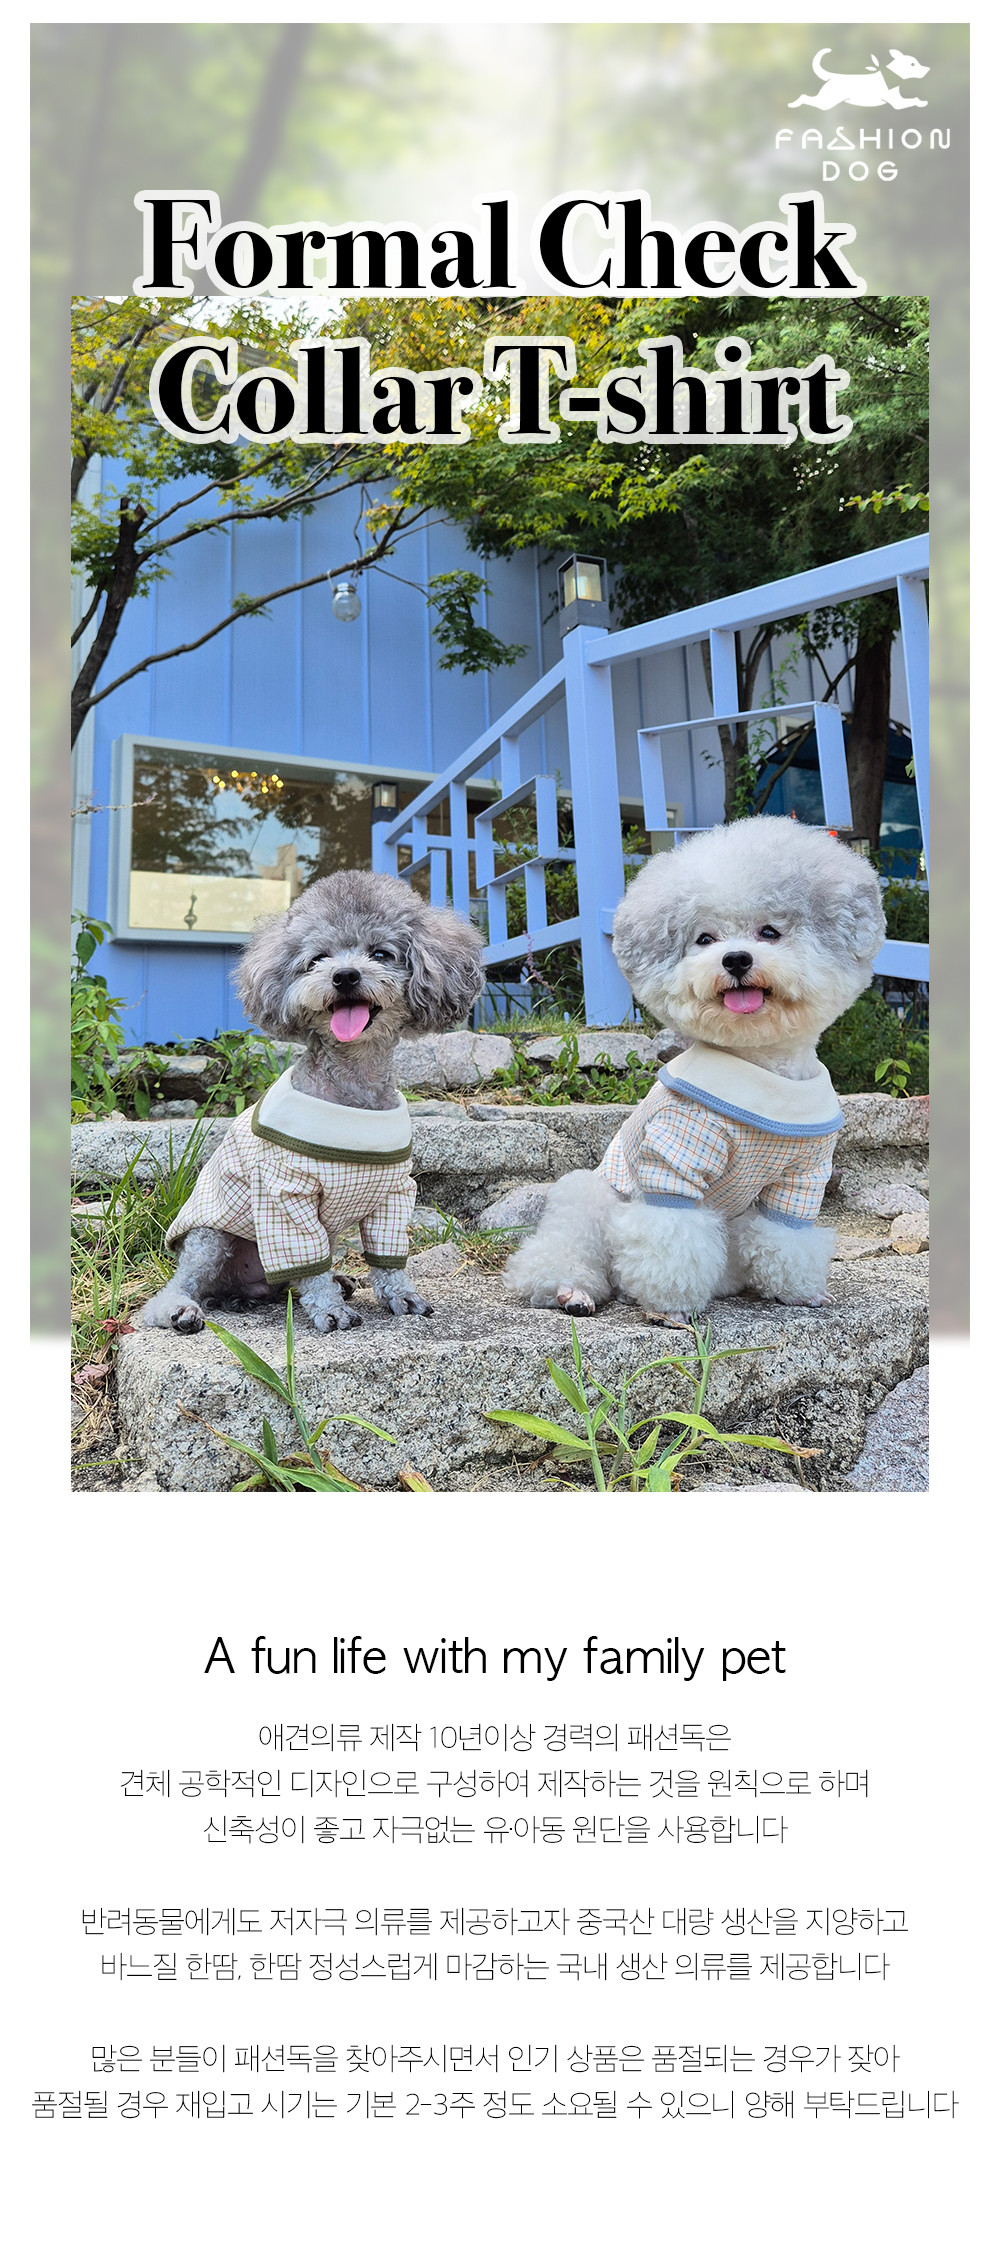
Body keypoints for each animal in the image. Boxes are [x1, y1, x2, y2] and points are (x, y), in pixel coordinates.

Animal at [140, 870, 484, 1335]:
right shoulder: (286, 1193)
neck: (352, 1091)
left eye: (381, 953)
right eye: (318, 958)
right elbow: (309, 1267)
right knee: (185, 1283)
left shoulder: (394, 1191)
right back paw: (180, 1309)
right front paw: (330, 1310)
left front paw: (401, 1296)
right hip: (211, 1237)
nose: (345, 976)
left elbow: (389, 1260)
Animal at [504, 818, 886, 1325]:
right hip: (592, 1197)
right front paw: (670, 1306)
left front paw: (799, 1291)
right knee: (561, 1253)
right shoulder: (676, 1157)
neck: (760, 1068)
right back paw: (572, 1291)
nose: (736, 959)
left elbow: (787, 1235)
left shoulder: (802, 1174)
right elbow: (671, 1230)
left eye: (769, 931)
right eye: (705, 939)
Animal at [789, 49, 929, 110]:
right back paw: (793, 104)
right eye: (912, 64)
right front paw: (921, 102)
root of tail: (833, 75)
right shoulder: (898, 104)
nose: (927, 69)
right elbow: (912, 100)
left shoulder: (898, 100)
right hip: (826, 102)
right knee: (804, 97)